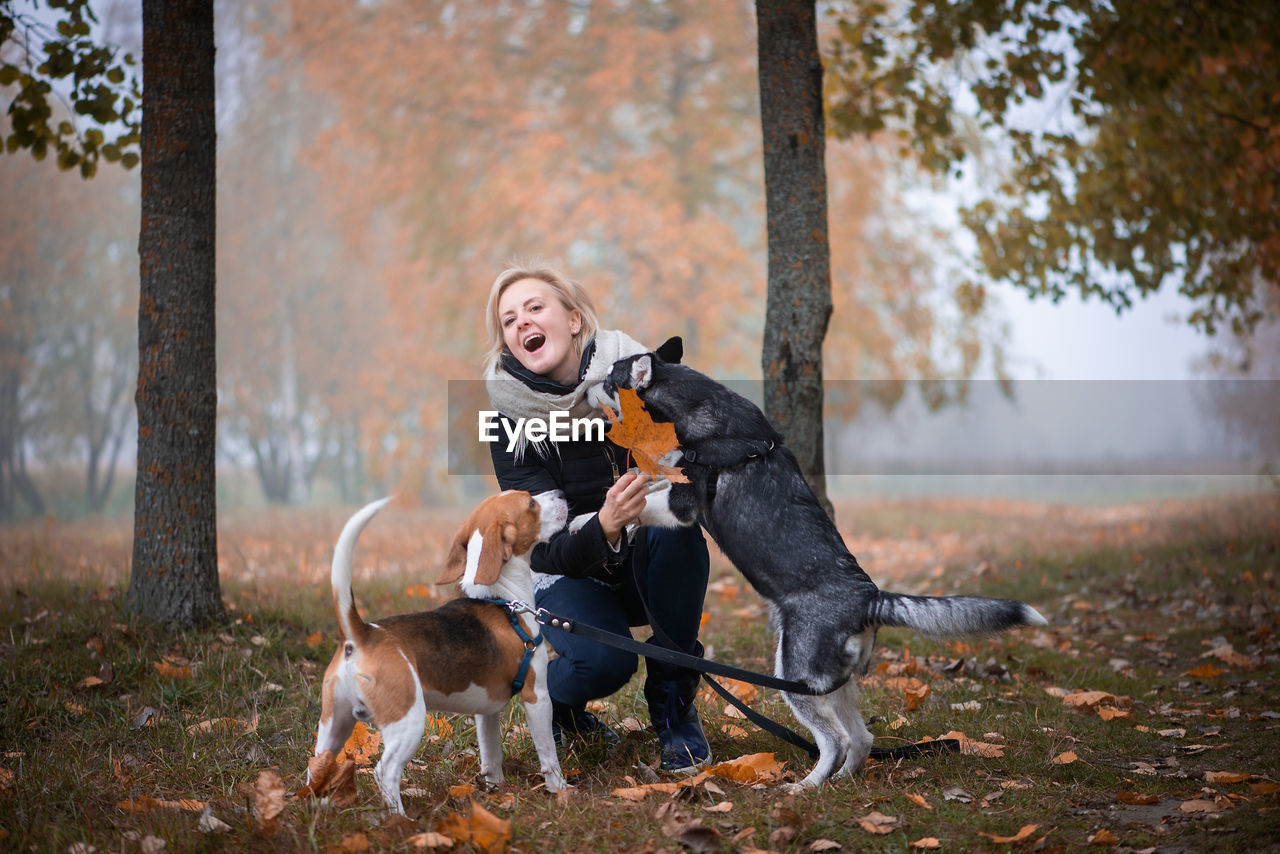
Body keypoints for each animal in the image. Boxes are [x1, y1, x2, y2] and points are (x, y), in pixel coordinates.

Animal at [309, 491, 570, 814]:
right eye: (531, 503)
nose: (560, 493)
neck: (502, 599)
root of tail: (361, 635)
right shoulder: (538, 696)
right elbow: (548, 754)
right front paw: (561, 791)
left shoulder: (486, 710)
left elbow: (491, 755)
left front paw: (497, 791)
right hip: (408, 721)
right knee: (385, 772)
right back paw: (400, 818)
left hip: (333, 724)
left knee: (316, 766)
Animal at [593, 338, 1044, 793]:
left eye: (610, 377)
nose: (586, 378)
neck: (702, 416)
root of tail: (869, 598)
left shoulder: (681, 504)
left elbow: (634, 504)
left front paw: (592, 521)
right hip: (828, 684)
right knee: (861, 739)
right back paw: (841, 780)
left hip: (795, 677)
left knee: (835, 740)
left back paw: (805, 787)